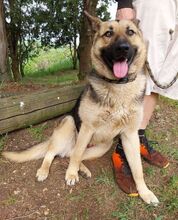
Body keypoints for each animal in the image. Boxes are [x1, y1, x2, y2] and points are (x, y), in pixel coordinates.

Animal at [2, 11, 159, 205]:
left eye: (130, 32)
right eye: (108, 33)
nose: (123, 48)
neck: (118, 86)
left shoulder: (130, 135)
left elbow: (138, 169)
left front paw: (145, 192)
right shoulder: (87, 128)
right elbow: (76, 155)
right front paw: (70, 174)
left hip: (103, 145)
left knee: (70, 154)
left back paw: (82, 169)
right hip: (69, 124)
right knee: (56, 153)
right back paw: (45, 170)